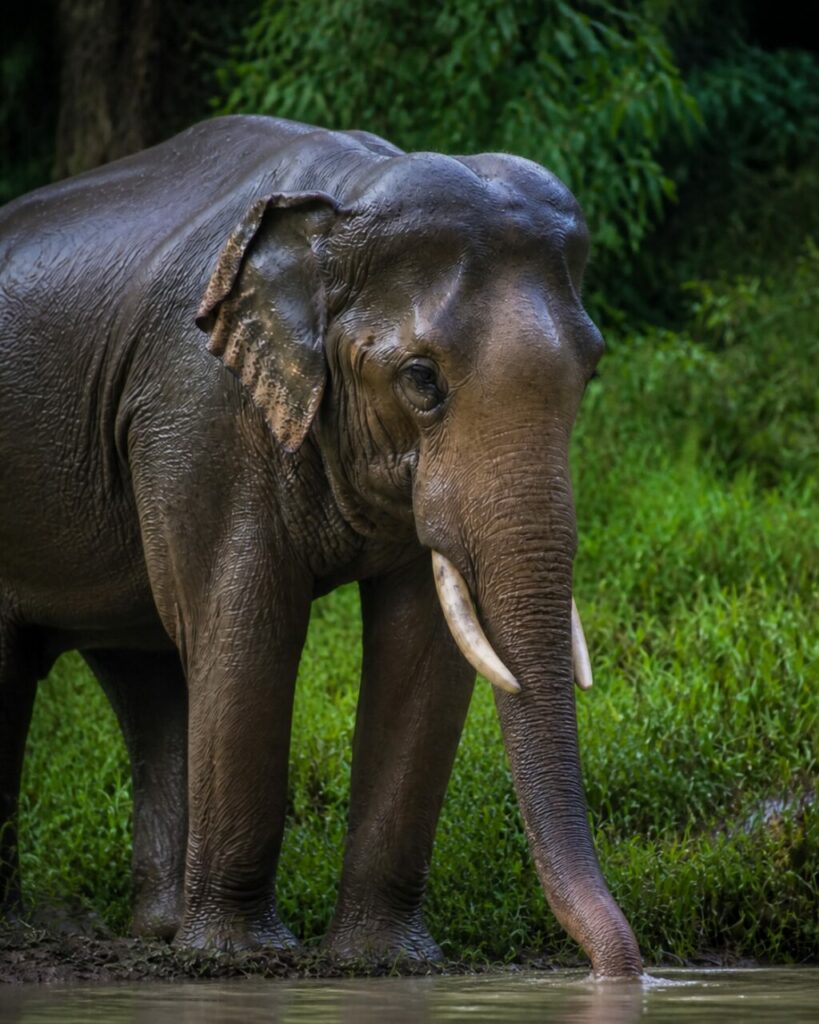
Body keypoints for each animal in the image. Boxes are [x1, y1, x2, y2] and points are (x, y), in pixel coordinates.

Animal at [0, 114, 642, 977]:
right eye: (420, 379)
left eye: (590, 370)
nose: (619, 972)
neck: (345, 195)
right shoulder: (197, 408)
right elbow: (248, 628)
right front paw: (238, 957)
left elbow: (422, 649)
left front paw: (382, 963)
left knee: (144, 673)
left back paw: (157, 932)